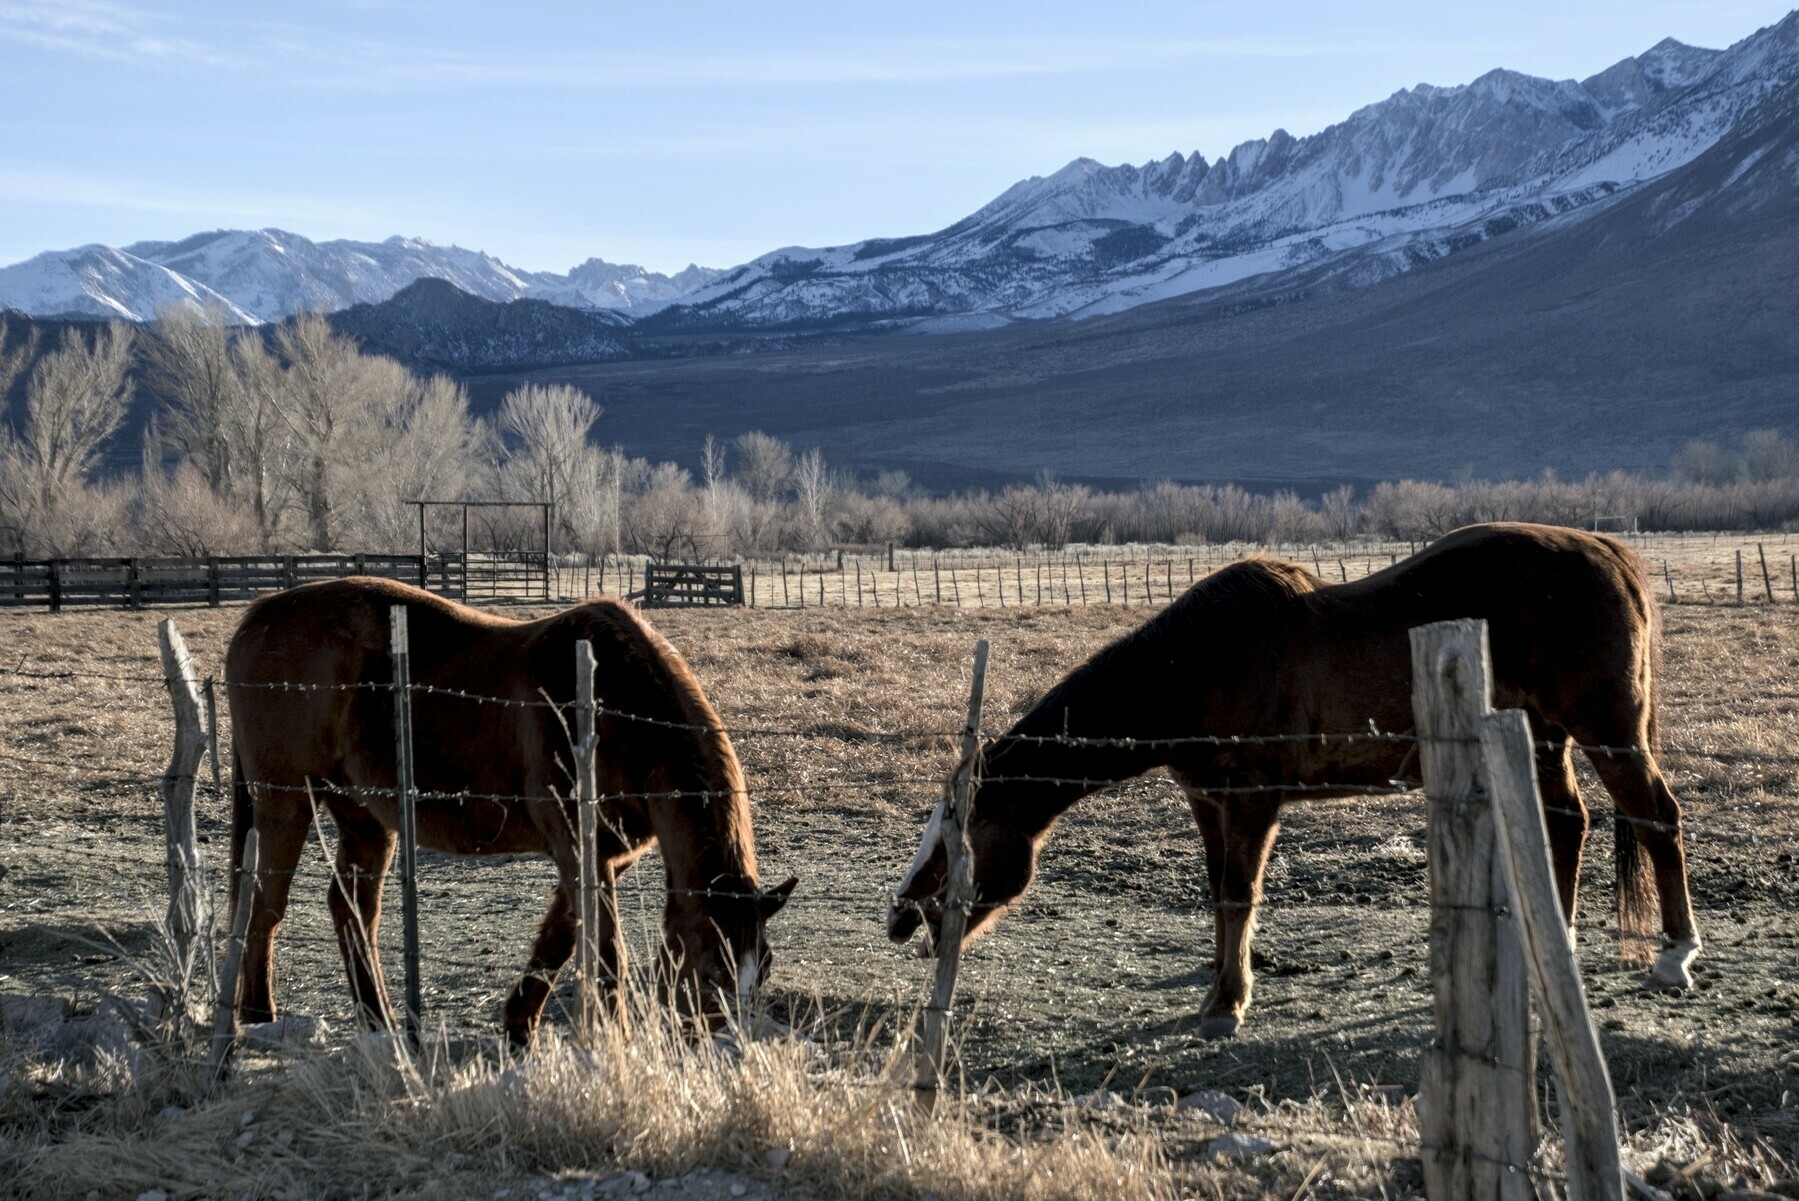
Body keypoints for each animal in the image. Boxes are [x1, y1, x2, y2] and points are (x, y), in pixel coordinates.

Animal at [224, 575, 795, 1042]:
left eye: (762, 967)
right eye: (710, 970)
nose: (714, 1046)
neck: (615, 708)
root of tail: (257, 616)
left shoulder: (603, 856)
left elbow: (559, 940)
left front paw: (520, 1024)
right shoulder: (579, 848)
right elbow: (604, 952)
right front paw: (613, 1040)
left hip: (365, 818)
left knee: (353, 911)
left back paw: (378, 1020)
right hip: (284, 805)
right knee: (264, 906)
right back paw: (258, 1016)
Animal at [892, 524, 1705, 1042]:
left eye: (958, 835)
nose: (901, 918)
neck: (1199, 665)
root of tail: (1613, 554)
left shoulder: (1253, 800)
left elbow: (1238, 894)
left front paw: (1227, 1002)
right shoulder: (1208, 800)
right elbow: (1218, 892)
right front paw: (1222, 986)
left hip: (1607, 732)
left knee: (1656, 816)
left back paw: (1674, 954)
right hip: (1541, 738)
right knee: (1568, 823)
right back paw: (1553, 943)